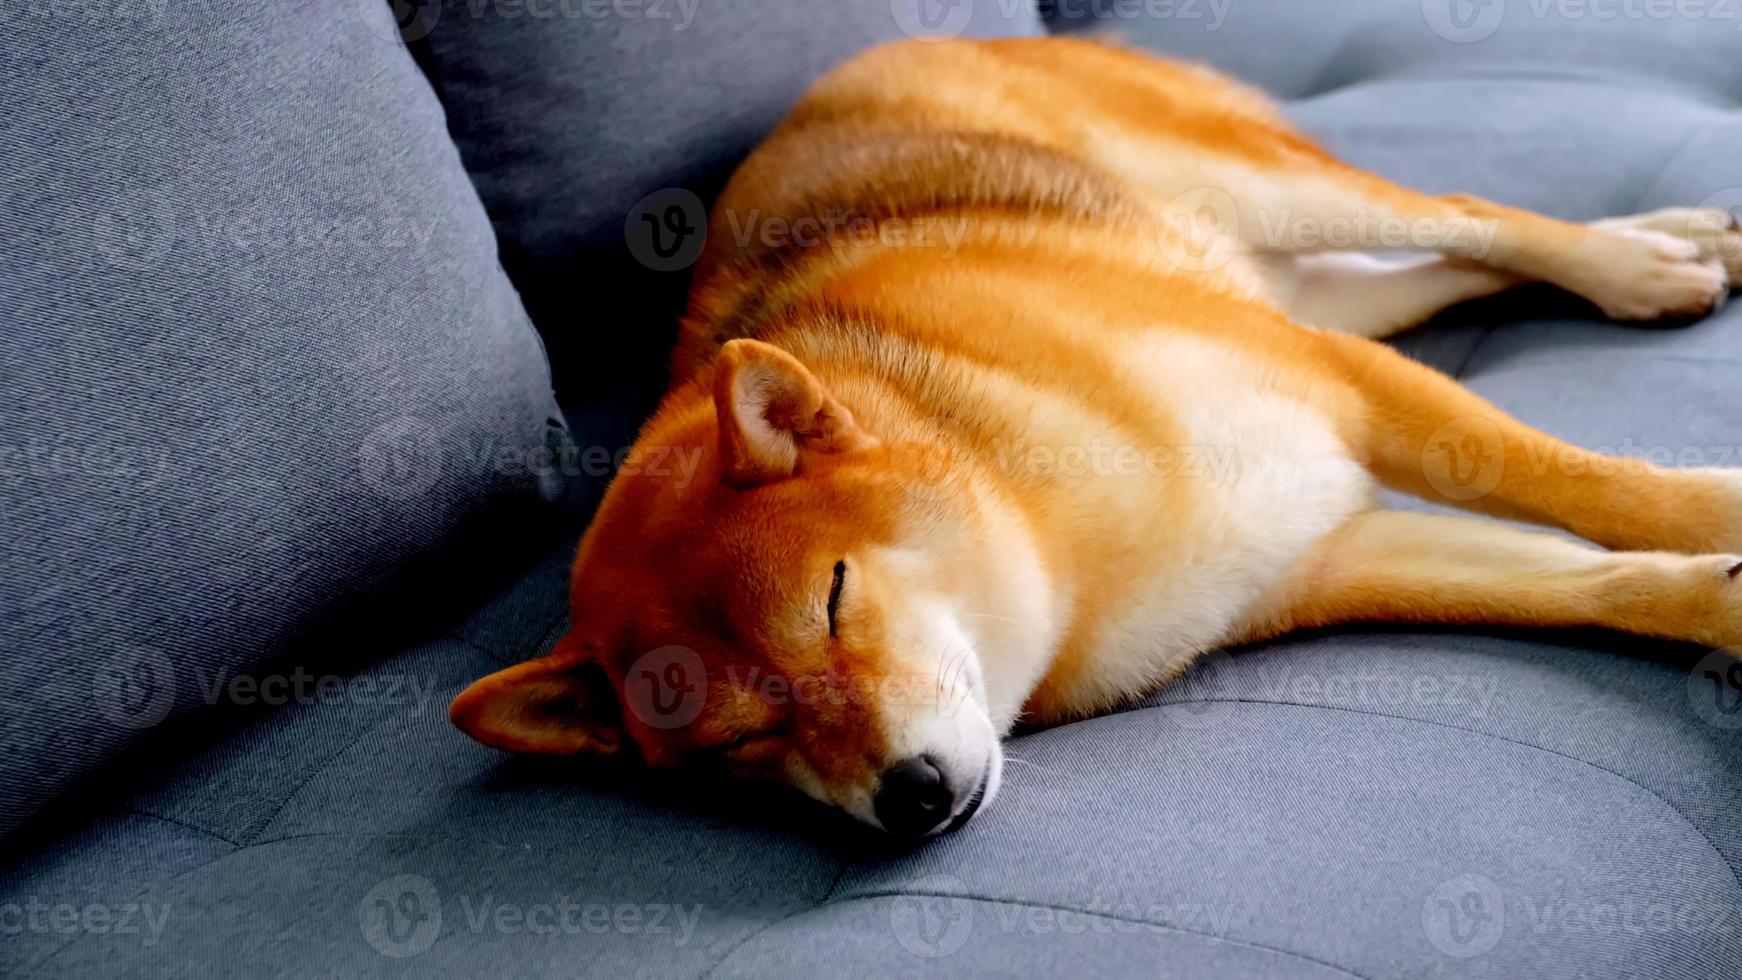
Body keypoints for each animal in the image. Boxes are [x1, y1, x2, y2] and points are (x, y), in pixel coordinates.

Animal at [452, 36, 1742, 835]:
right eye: (739, 746)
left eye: (831, 598)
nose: (906, 797)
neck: (1056, 545)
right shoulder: (1328, 554)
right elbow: (1597, 584)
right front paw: (1712, 599)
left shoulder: (1347, 391)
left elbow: (1598, 494)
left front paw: (1712, 510)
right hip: (1295, 281)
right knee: (1433, 271)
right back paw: (1667, 246)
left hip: (1257, 194)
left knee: (1471, 217)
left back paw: (1637, 261)